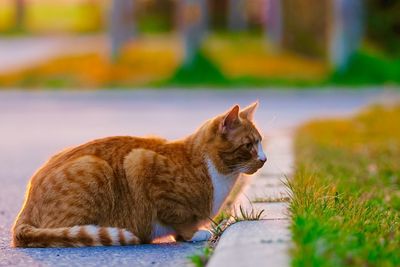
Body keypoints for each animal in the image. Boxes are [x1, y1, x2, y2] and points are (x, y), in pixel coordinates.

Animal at [12, 101, 268, 248]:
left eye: (261, 143)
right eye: (248, 145)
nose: (265, 159)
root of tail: (27, 203)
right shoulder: (141, 161)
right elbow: (181, 219)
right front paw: (192, 234)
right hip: (94, 167)